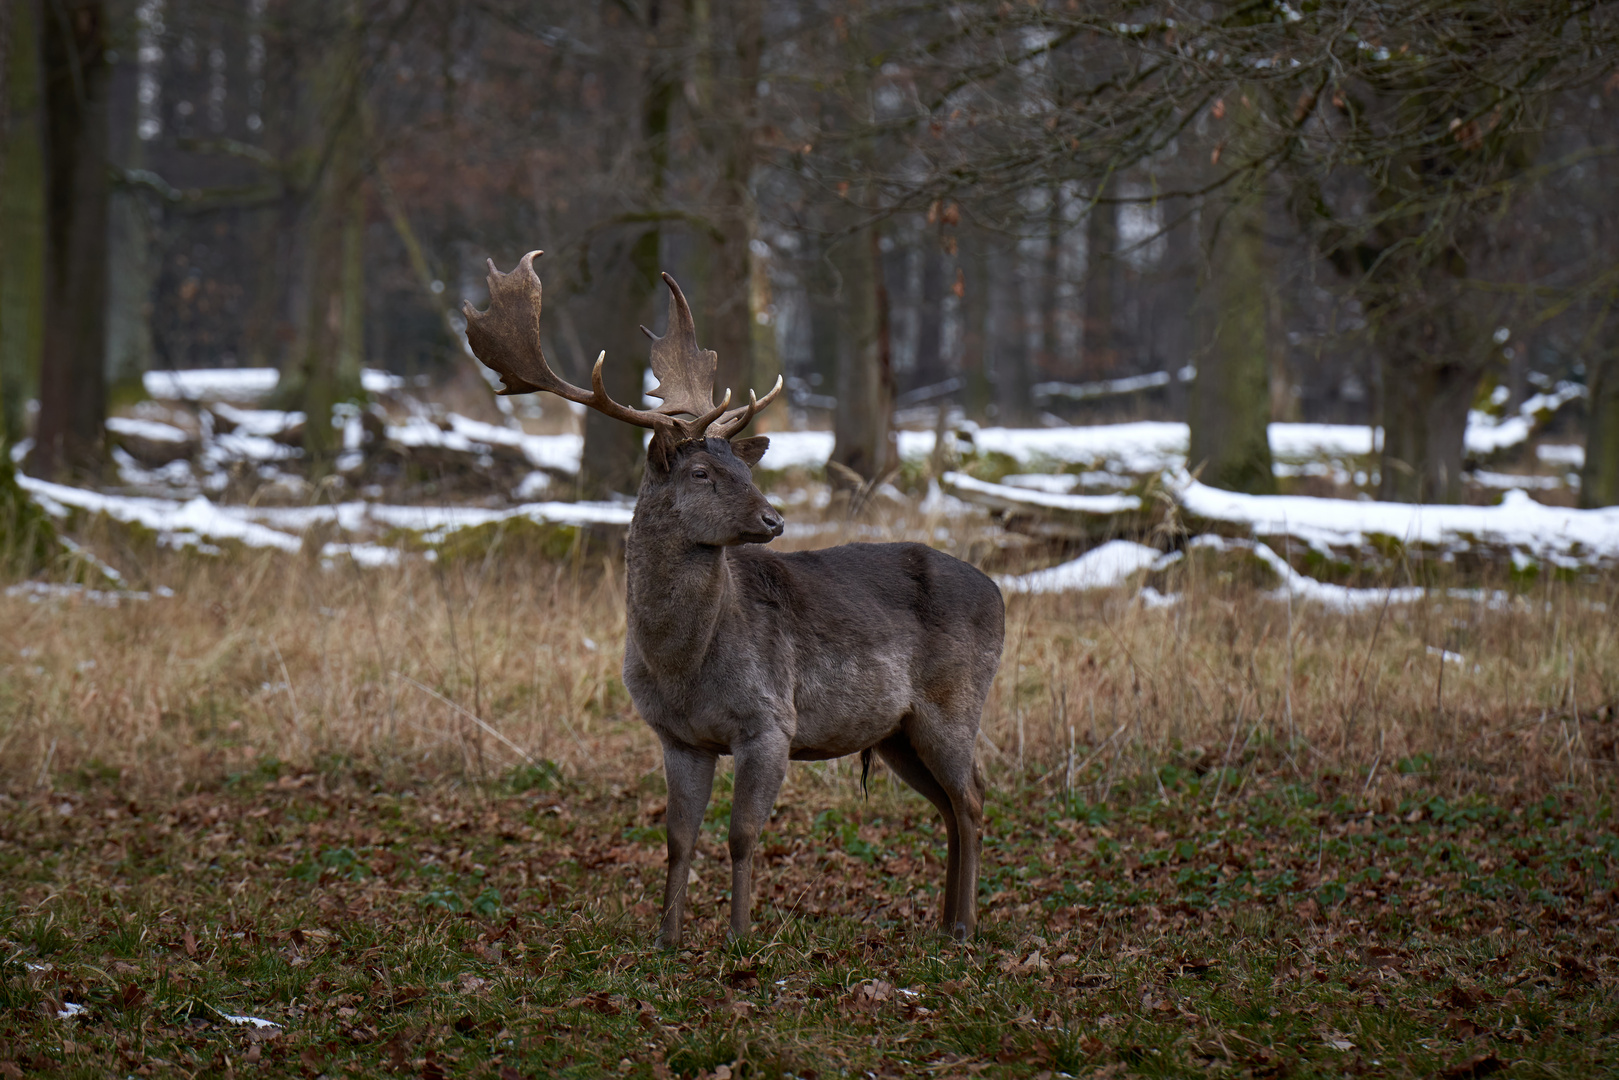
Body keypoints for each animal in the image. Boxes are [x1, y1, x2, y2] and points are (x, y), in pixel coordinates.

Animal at [463, 254, 1003, 945]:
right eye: (701, 473)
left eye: (746, 471)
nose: (774, 519)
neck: (683, 665)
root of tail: (1000, 593)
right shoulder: (677, 737)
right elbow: (677, 839)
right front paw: (667, 939)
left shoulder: (770, 719)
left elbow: (742, 835)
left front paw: (740, 937)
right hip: (895, 731)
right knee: (949, 805)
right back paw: (943, 924)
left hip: (953, 700)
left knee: (974, 797)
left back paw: (965, 927)